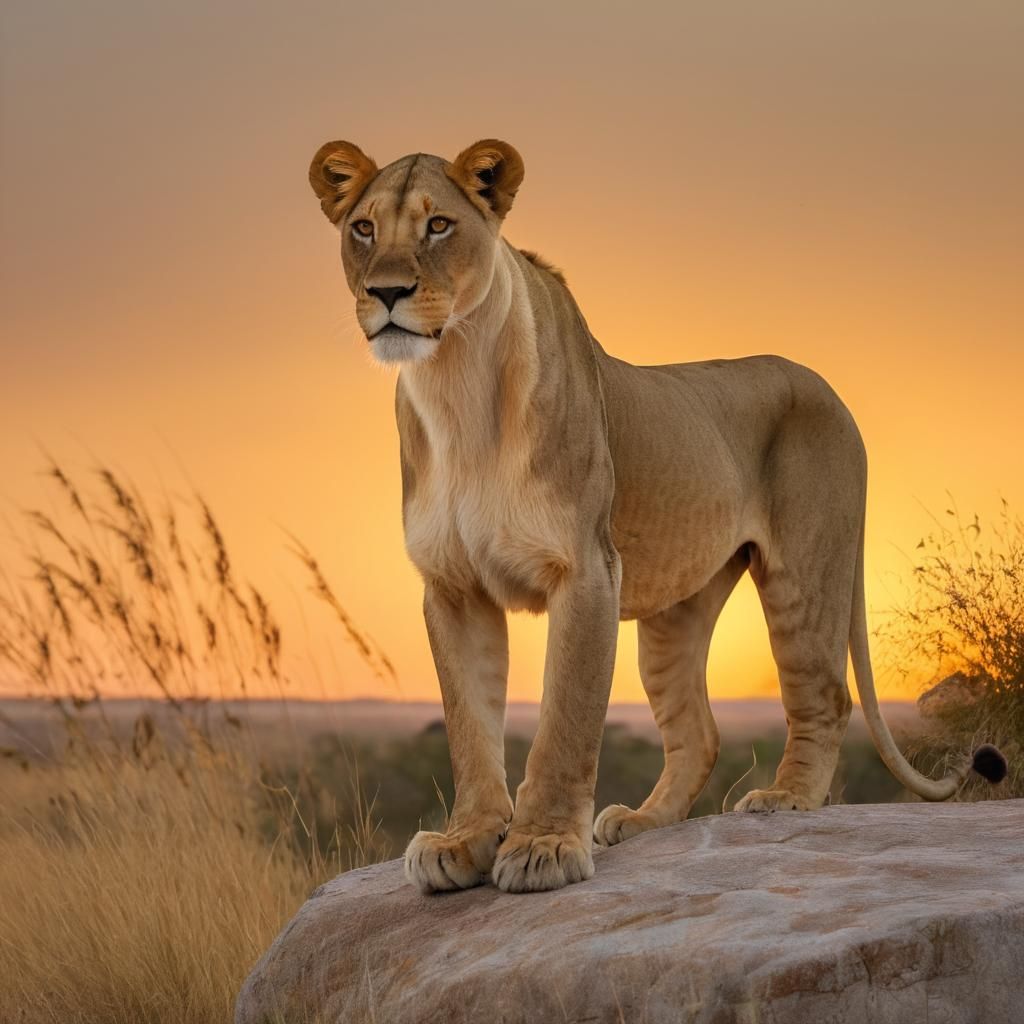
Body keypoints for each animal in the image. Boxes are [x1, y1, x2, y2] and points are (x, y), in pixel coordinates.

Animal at [307, 137, 1007, 894]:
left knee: (826, 697)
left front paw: (543, 846)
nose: (387, 293)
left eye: (438, 226)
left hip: (805, 574)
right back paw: (641, 820)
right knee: (699, 733)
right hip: (675, 615)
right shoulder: (453, 588)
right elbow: (469, 728)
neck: (455, 383)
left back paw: (784, 798)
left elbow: (565, 720)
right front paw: (464, 843)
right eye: (363, 229)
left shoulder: (586, 570)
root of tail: (825, 386)